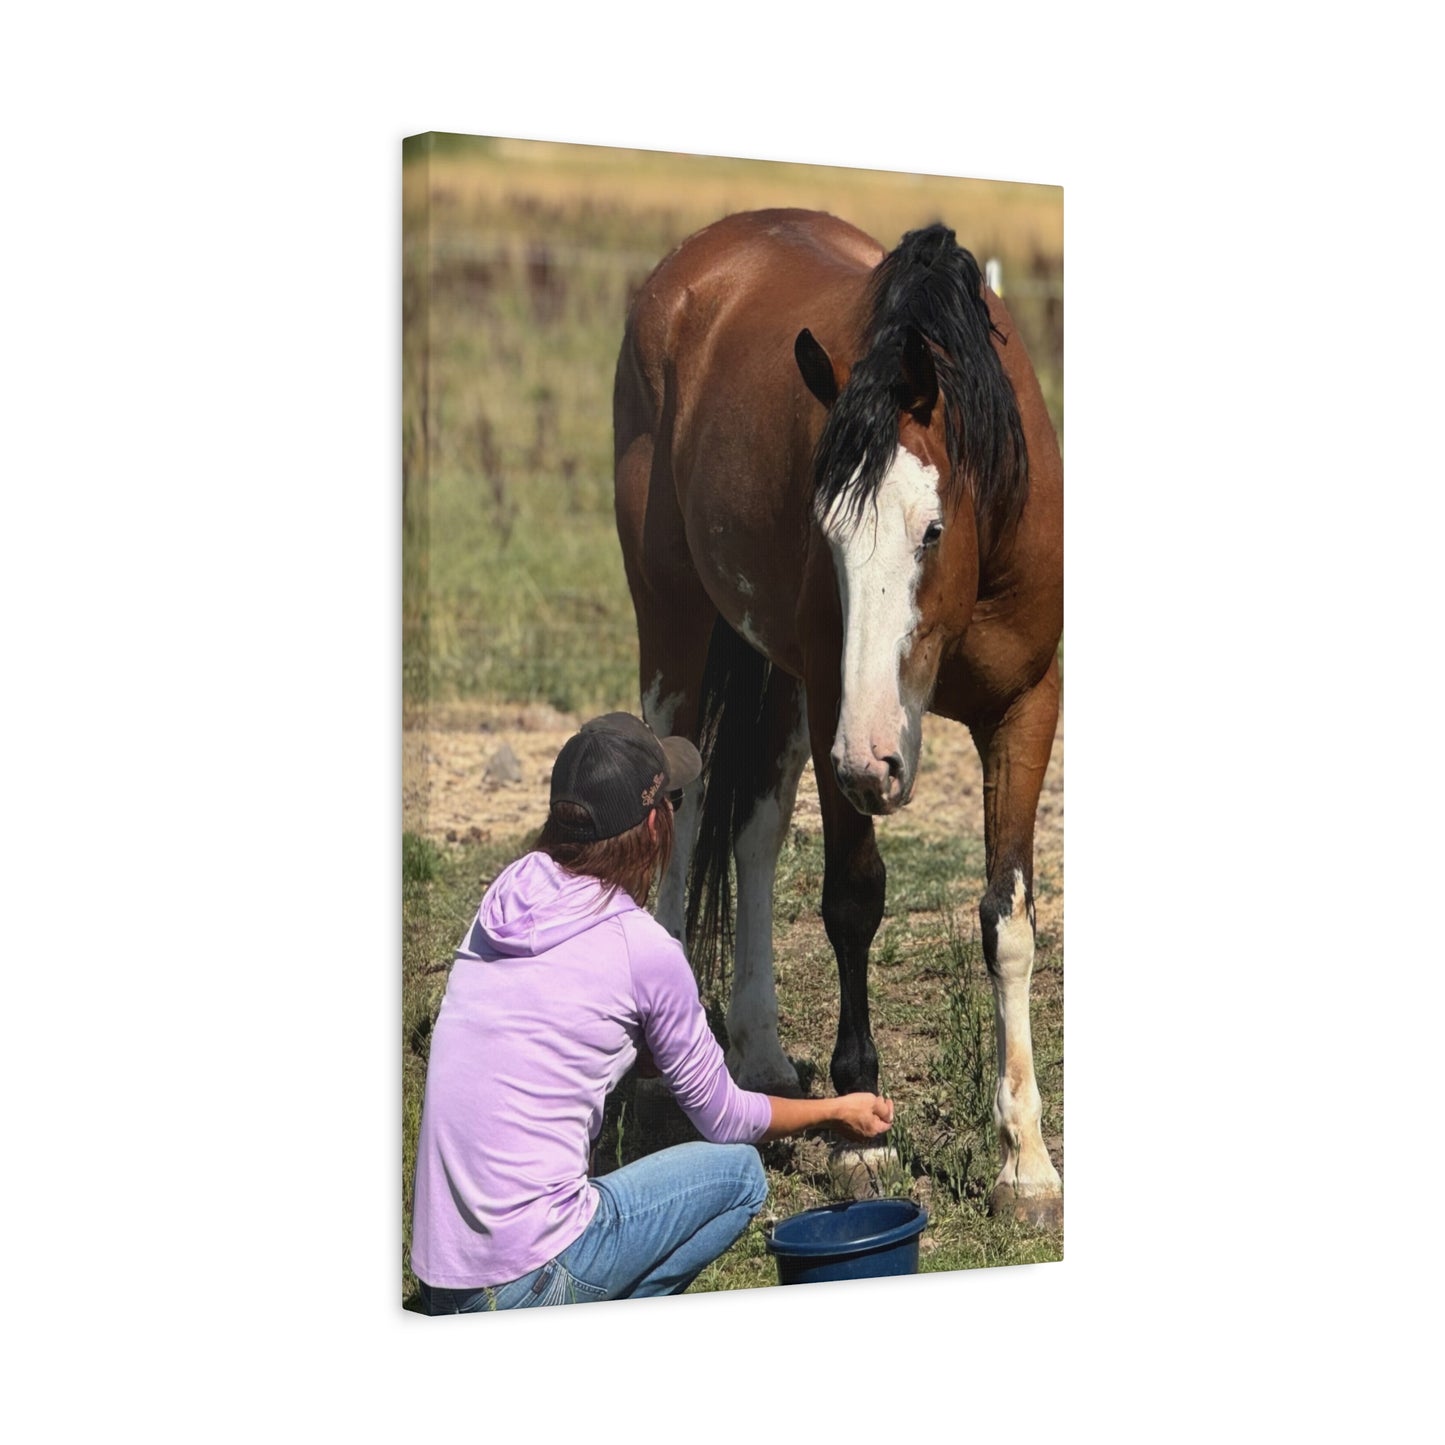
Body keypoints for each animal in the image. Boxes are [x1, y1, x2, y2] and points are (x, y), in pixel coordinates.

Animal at [612, 209, 1062, 1224]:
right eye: (825, 532)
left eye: (930, 529)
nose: (872, 763)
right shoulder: (834, 707)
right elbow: (853, 900)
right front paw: (864, 1137)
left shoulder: (1026, 709)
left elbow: (1008, 918)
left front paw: (1025, 1160)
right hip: (676, 622)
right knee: (681, 813)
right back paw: (664, 1070)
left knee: (755, 833)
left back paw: (761, 1053)